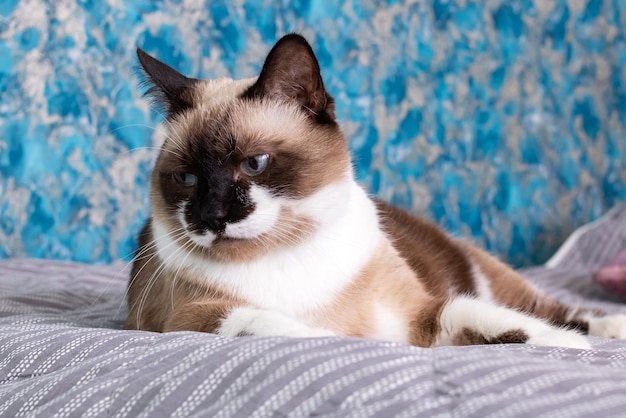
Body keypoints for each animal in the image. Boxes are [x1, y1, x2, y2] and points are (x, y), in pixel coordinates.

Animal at [125, 34, 624, 350]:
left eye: (254, 164)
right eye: (187, 179)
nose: (210, 217)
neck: (286, 253)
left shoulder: (425, 314)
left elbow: (503, 322)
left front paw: (573, 348)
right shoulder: (191, 319)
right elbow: (279, 326)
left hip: (493, 278)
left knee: (547, 308)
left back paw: (610, 329)